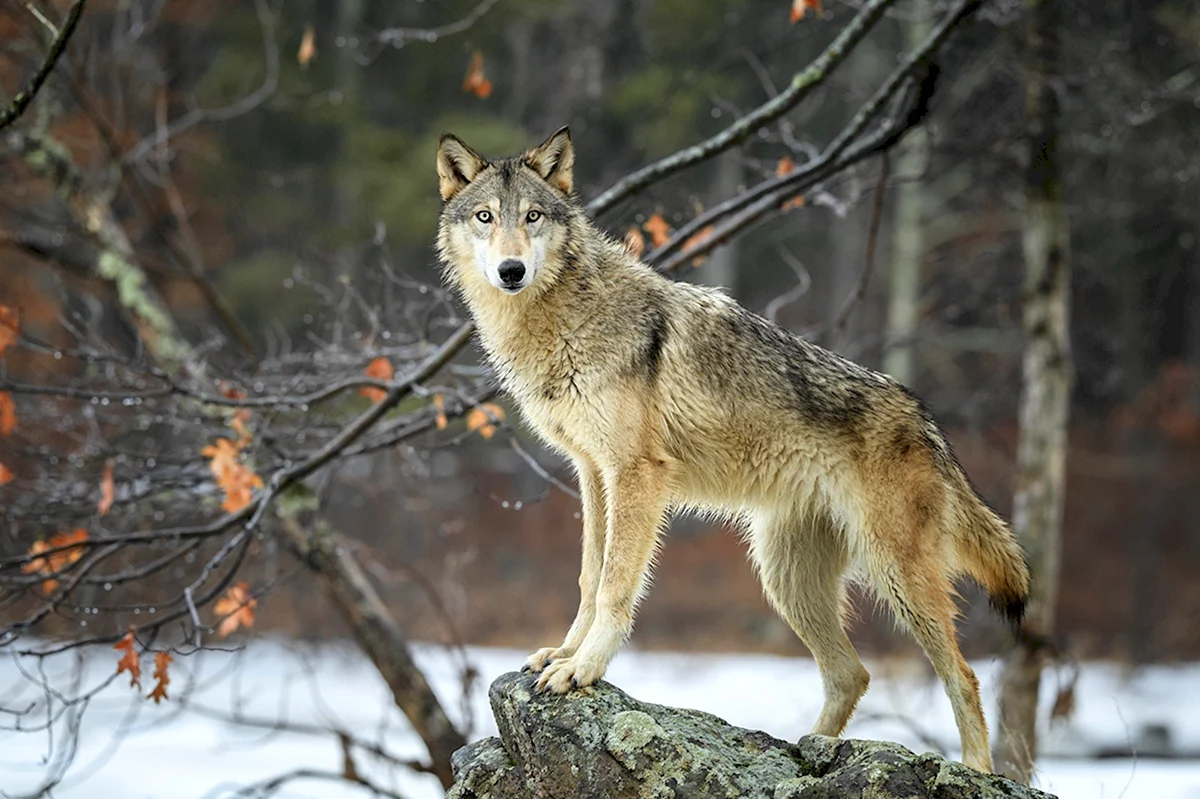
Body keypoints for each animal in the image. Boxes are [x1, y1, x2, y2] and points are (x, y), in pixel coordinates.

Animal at [436, 125, 1027, 772]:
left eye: (533, 216)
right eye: (486, 218)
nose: (511, 269)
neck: (563, 317)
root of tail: (926, 418)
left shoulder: (637, 474)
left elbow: (616, 584)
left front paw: (583, 669)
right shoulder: (592, 472)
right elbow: (590, 577)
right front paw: (565, 654)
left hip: (896, 576)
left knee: (964, 676)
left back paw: (975, 770)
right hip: (785, 578)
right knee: (853, 674)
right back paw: (810, 753)